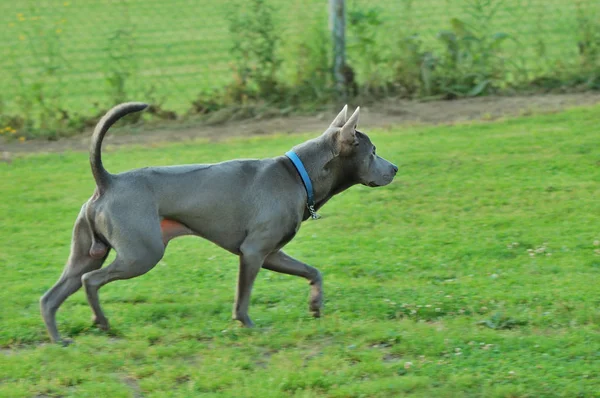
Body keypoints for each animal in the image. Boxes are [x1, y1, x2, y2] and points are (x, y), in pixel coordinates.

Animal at [39, 102, 396, 346]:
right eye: (373, 151)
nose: (394, 168)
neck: (299, 174)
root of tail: (107, 181)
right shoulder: (253, 252)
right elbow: (243, 295)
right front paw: (247, 324)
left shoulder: (272, 254)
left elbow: (313, 271)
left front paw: (315, 306)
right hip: (142, 254)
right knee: (91, 281)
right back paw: (102, 322)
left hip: (87, 253)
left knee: (53, 295)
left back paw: (59, 339)